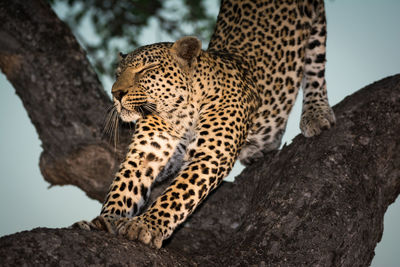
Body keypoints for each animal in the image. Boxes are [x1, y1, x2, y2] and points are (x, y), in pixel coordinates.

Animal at [74, 0, 334, 249]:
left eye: (146, 69)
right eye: (117, 74)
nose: (115, 93)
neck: (178, 113)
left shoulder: (210, 155)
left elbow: (177, 195)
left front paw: (145, 225)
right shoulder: (146, 153)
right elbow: (123, 187)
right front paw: (104, 221)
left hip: (316, 24)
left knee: (315, 65)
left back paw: (316, 113)